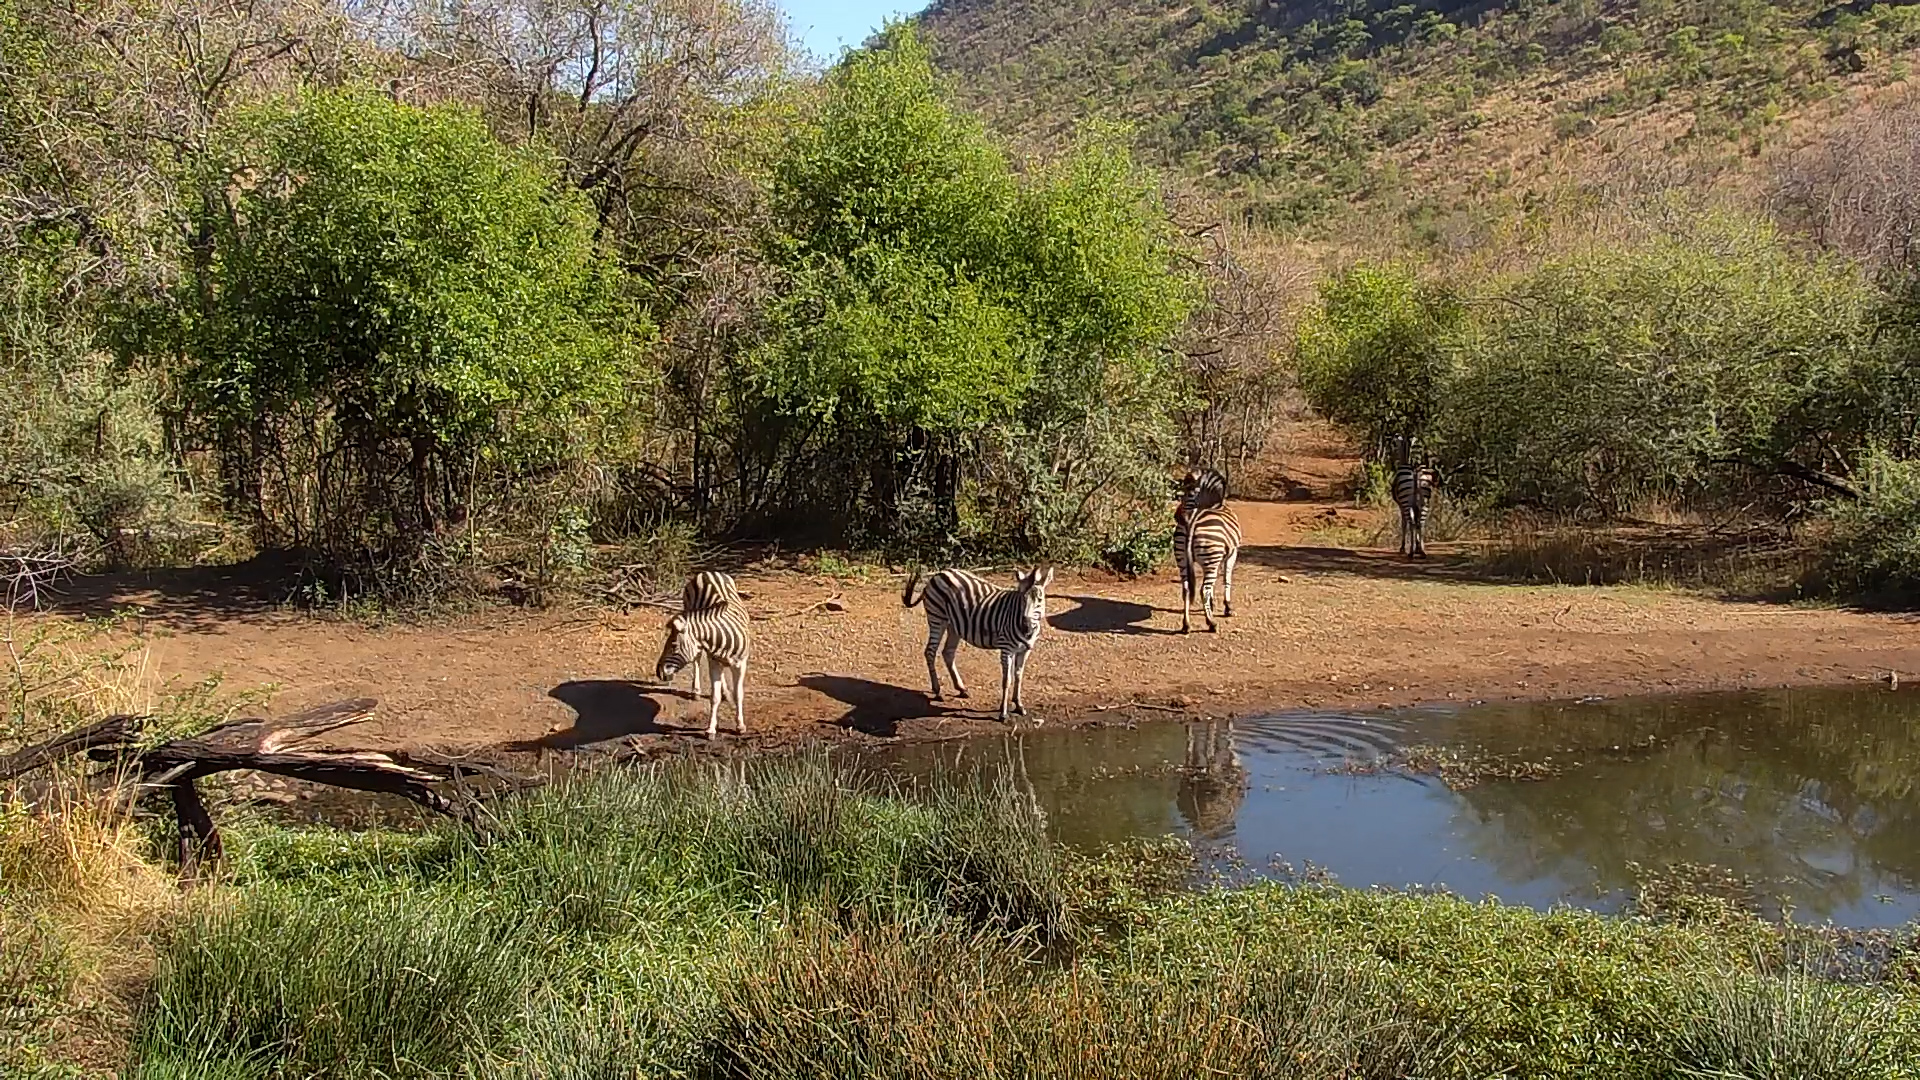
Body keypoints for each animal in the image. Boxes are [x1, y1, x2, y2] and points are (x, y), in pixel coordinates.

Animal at [655, 573, 750, 737]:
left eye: (673, 646)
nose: (658, 672)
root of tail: (706, 573)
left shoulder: (740, 664)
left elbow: (739, 694)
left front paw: (740, 725)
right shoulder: (714, 661)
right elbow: (714, 697)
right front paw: (711, 729)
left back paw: (725, 693)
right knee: (697, 659)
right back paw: (696, 691)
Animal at [901, 566, 1055, 723]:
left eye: (1039, 600)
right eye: (1021, 600)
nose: (1026, 628)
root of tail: (939, 574)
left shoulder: (1024, 651)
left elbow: (1018, 677)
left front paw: (1018, 705)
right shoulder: (1006, 649)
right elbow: (1007, 680)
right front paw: (1003, 712)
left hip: (954, 625)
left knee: (948, 652)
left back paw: (961, 689)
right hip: (937, 618)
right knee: (930, 652)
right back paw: (937, 691)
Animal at [1175, 471, 1240, 633]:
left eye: (1189, 494)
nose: (1177, 517)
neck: (1215, 504)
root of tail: (1191, 521)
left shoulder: (1217, 559)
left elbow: (1215, 583)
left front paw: (1211, 605)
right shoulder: (1232, 553)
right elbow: (1226, 579)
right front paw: (1227, 607)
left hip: (1183, 559)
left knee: (1186, 589)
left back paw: (1186, 625)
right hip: (1211, 558)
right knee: (1203, 590)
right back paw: (1212, 623)